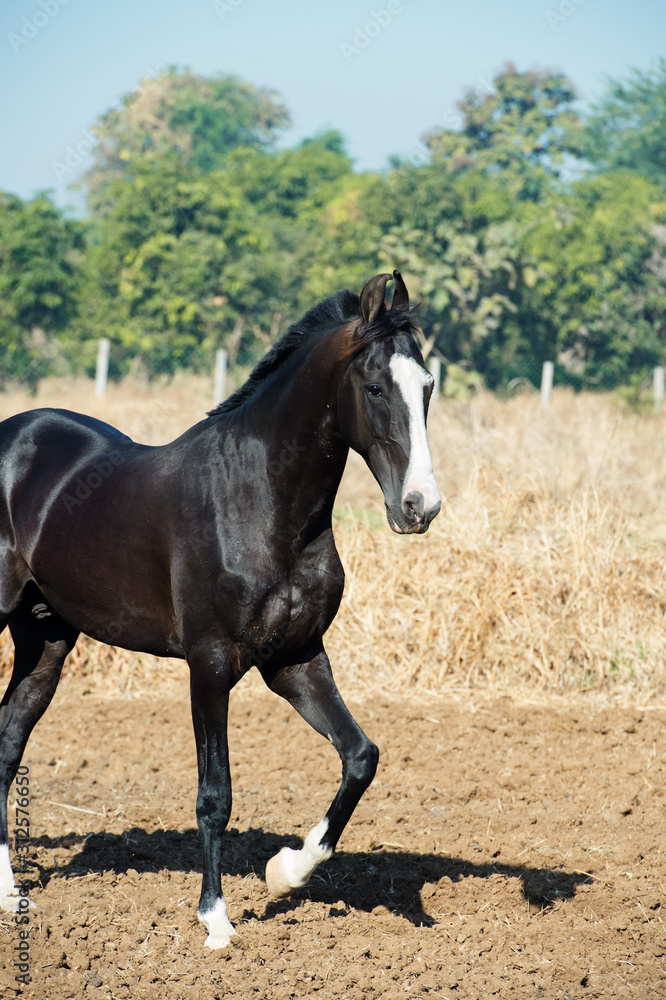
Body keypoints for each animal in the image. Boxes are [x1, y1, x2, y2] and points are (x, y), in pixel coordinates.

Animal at [0, 270, 441, 948]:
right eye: (373, 387)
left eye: (428, 387)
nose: (420, 506)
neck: (260, 502)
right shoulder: (209, 666)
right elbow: (216, 795)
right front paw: (216, 920)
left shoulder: (296, 661)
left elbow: (360, 757)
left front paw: (286, 872)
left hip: (45, 640)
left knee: (8, 741)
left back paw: (8, 893)